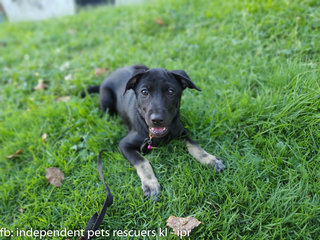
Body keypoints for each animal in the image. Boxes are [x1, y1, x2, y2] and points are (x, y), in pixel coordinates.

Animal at [84, 64, 226, 200]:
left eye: (171, 91)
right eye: (144, 92)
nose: (157, 120)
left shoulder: (181, 132)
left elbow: (195, 146)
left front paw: (211, 160)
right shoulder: (124, 145)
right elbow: (142, 161)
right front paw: (151, 185)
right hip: (106, 101)